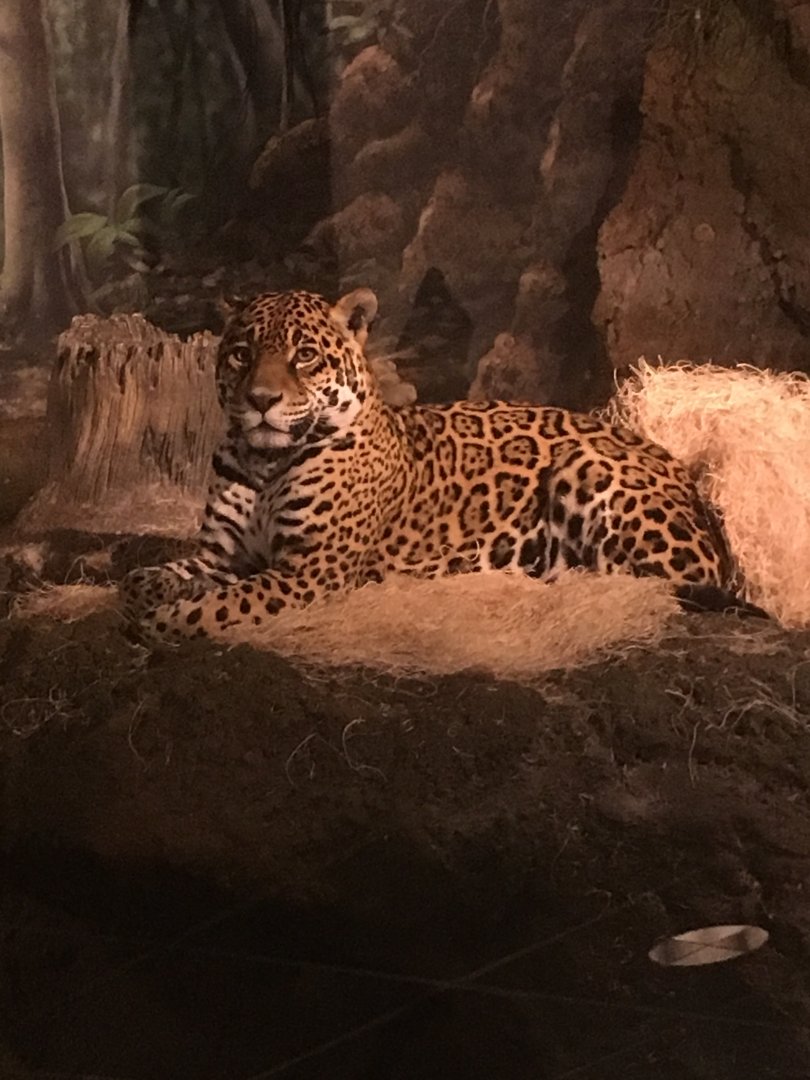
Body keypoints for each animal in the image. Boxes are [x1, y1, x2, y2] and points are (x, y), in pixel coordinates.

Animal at [120, 286, 757, 643]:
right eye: (240, 353)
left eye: (304, 356)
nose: (260, 400)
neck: (263, 461)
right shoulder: (223, 555)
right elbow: (143, 579)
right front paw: (151, 596)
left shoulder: (310, 570)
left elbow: (219, 606)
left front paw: (164, 623)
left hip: (588, 466)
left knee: (638, 582)